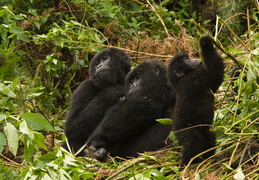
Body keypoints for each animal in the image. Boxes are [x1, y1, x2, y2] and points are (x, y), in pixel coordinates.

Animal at [168, 34, 224, 165]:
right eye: (187, 60)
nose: (195, 60)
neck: (178, 79)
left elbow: (215, 80)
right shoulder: (191, 80)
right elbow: (214, 74)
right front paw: (205, 44)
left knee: (209, 136)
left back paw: (207, 158)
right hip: (181, 130)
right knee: (194, 141)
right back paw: (186, 164)